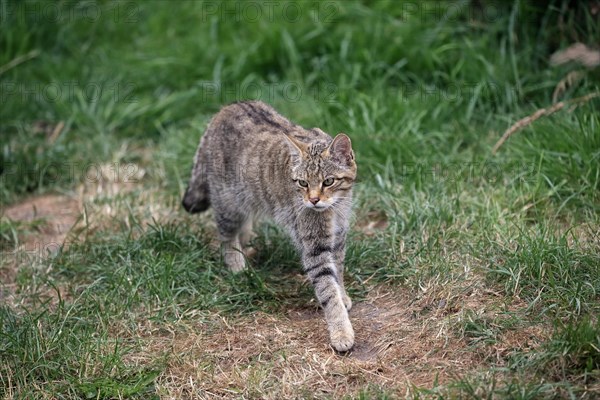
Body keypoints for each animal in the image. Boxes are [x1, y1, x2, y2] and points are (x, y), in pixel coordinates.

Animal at [183, 101, 356, 352]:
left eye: (328, 181)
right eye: (303, 183)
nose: (313, 200)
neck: (335, 208)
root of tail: (226, 107)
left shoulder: (338, 238)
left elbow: (338, 273)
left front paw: (342, 295)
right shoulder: (315, 248)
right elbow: (327, 290)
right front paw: (341, 331)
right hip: (228, 202)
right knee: (226, 235)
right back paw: (236, 263)